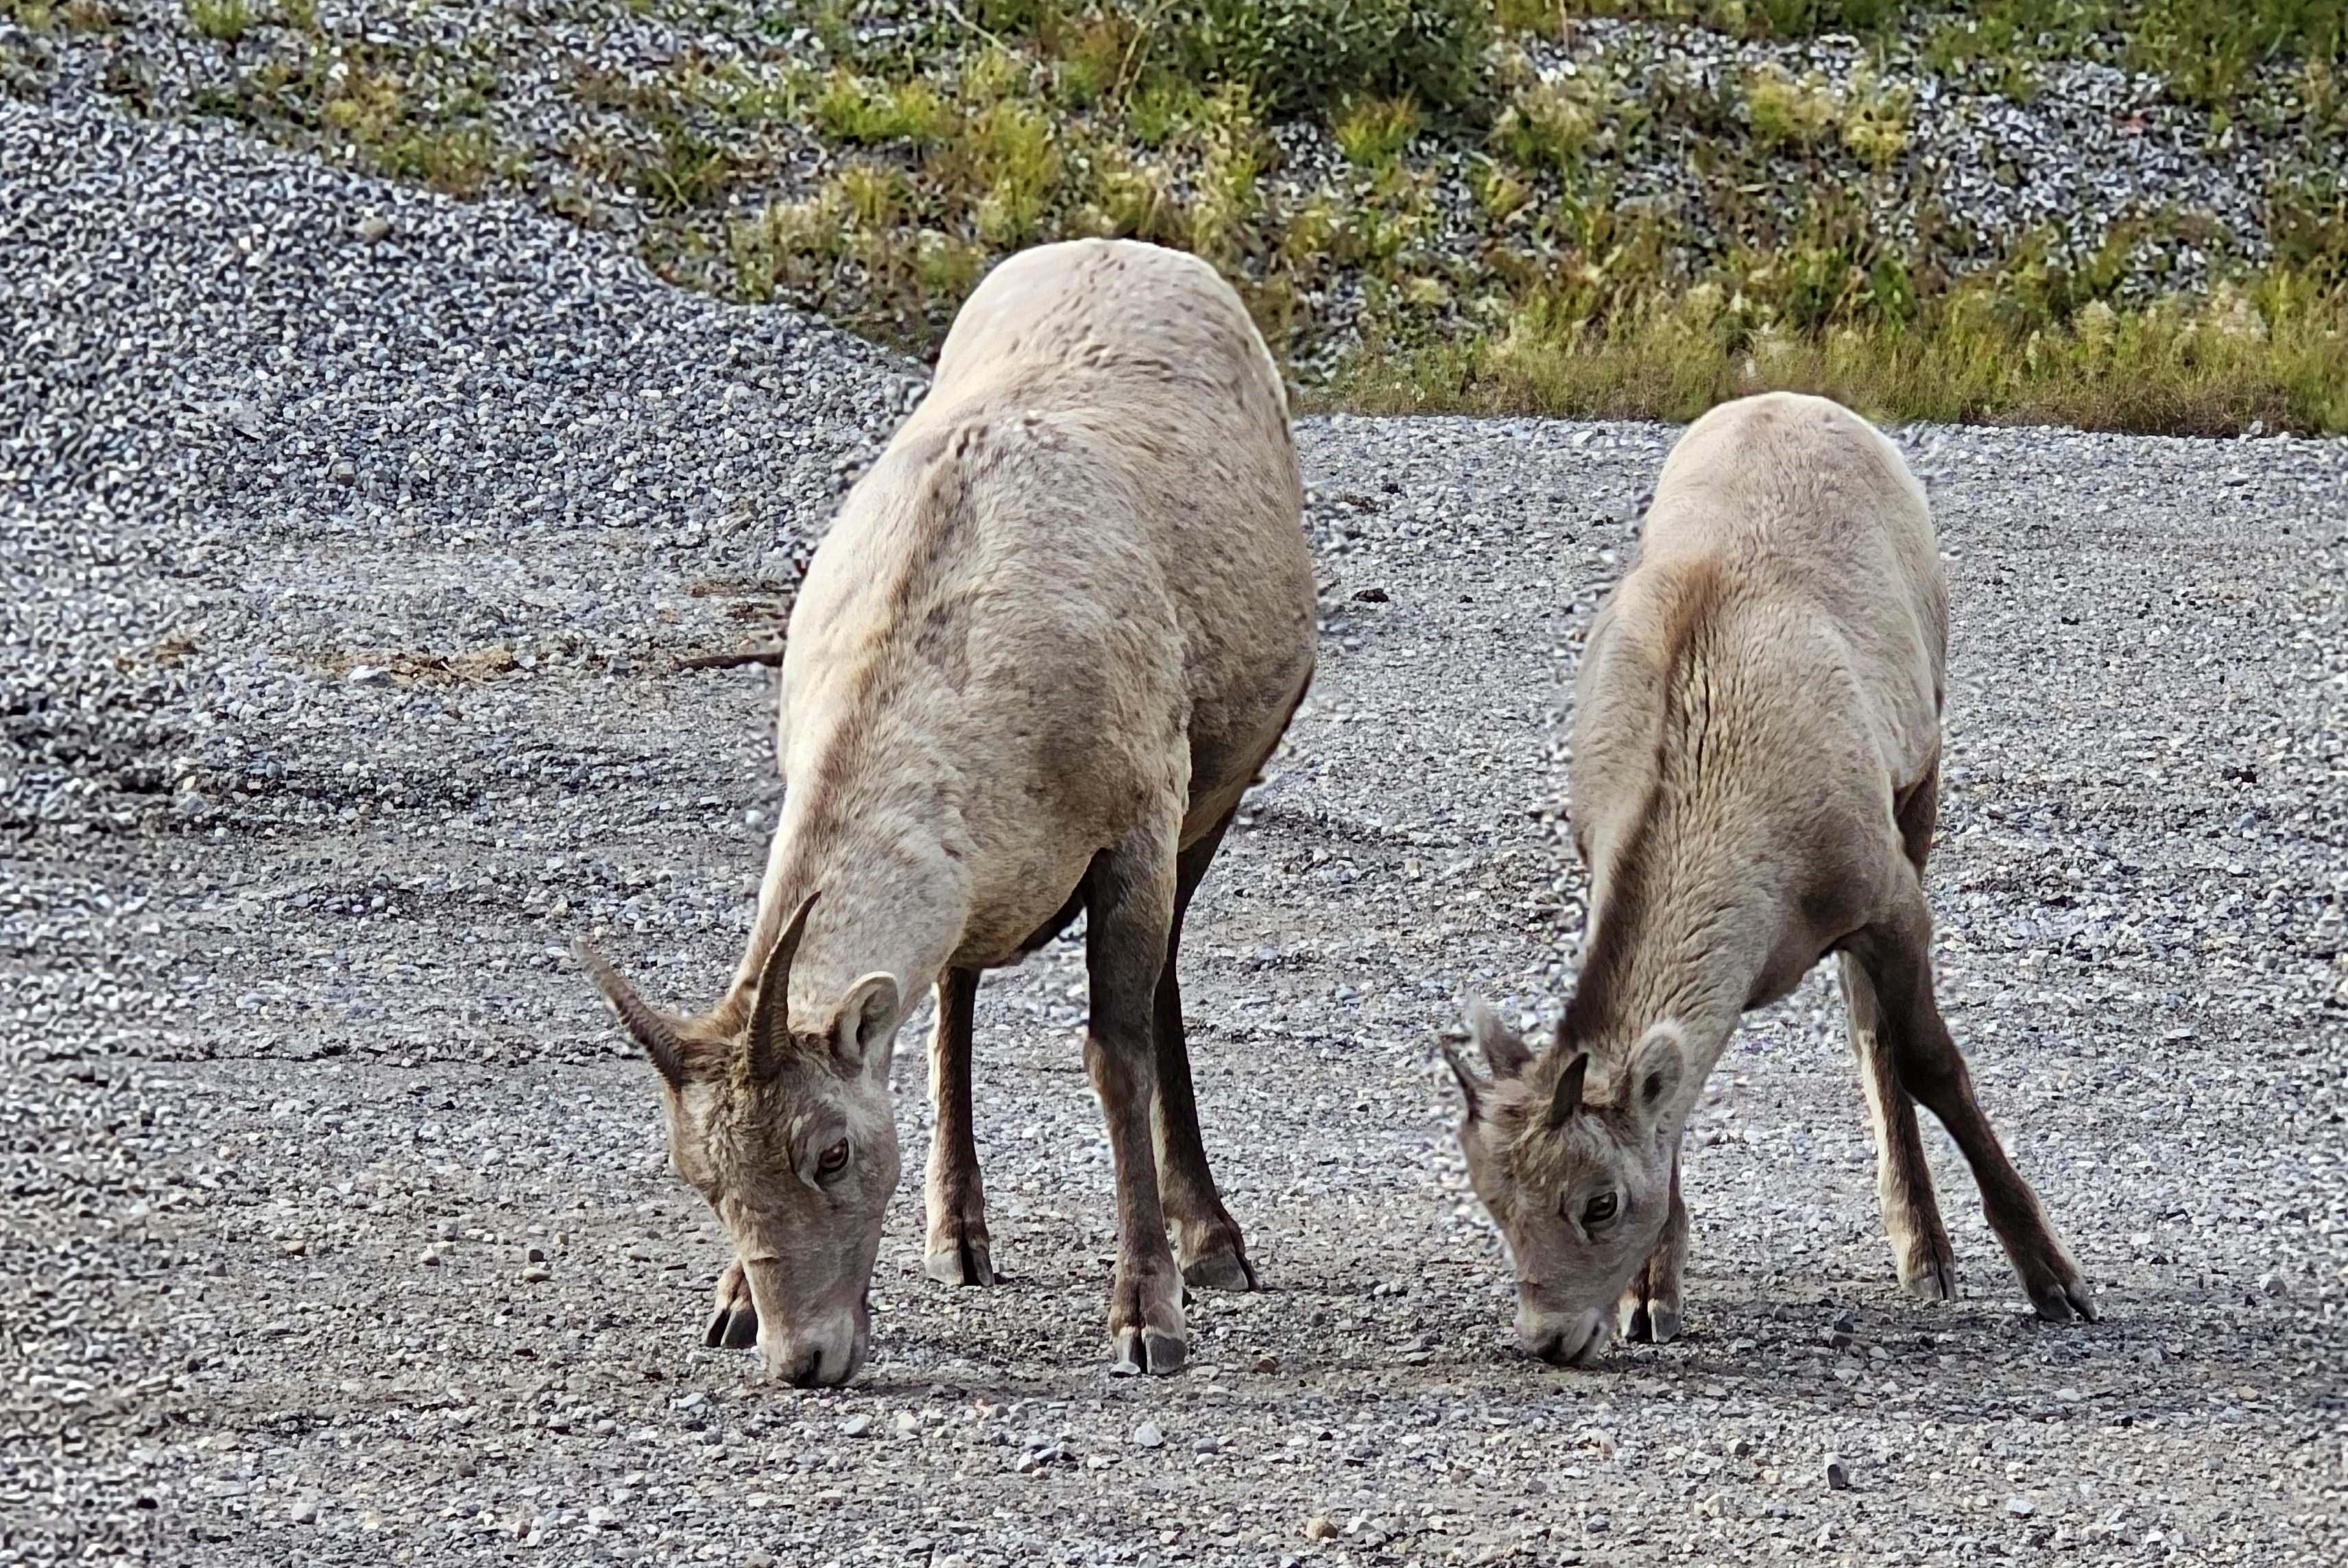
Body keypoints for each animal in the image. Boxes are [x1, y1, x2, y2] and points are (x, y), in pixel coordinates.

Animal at [577, 232, 1324, 1380]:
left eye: (831, 1151)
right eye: (701, 1178)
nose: (803, 1356)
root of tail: (1136, 247)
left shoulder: (1138, 828)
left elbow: (1115, 1053)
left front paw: (1147, 1314)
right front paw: (730, 1305)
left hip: (1216, 800)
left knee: (1163, 982)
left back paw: (1214, 1243)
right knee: (959, 988)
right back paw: (959, 1236)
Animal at [1446, 394, 2094, 1371]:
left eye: (1598, 1202)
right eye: (1493, 1202)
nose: (1551, 1338)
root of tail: (1793, 402)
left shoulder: (1890, 902)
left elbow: (1929, 1062)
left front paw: (2056, 1282)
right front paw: (1651, 1299)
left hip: (1923, 780)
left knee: (1872, 1030)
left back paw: (1927, 1260)